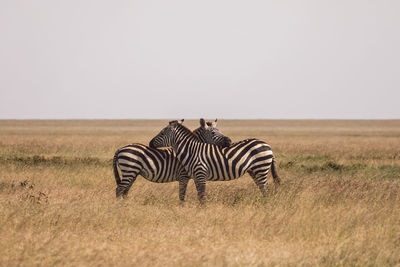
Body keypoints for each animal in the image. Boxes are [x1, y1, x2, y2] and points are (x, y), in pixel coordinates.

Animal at [148, 120, 282, 204]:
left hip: (261, 167)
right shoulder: (195, 177)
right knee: (262, 188)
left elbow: (201, 196)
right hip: (254, 170)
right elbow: (199, 195)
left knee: (266, 188)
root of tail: (267, 144)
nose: (150, 143)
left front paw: (203, 211)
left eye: (162, 133)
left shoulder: (199, 174)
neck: (191, 150)